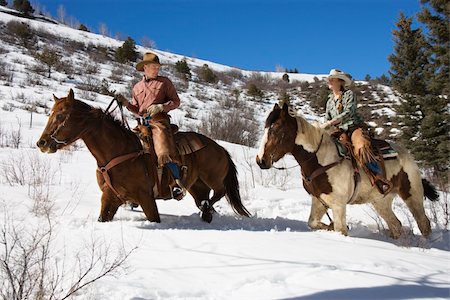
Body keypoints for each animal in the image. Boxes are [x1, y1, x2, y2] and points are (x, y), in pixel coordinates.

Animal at [37, 89, 251, 223]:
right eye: (50, 113)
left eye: (61, 116)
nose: (42, 143)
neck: (118, 152)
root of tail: (220, 148)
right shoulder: (110, 197)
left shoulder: (146, 198)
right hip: (197, 186)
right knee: (205, 198)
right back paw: (206, 212)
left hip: (212, 178)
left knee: (220, 191)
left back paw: (207, 209)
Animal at [256, 102, 440, 238]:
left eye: (277, 129)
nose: (260, 160)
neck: (321, 161)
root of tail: (407, 154)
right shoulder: (319, 200)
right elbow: (313, 223)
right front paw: (328, 227)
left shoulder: (338, 204)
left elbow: (340, 230)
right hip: (381, 202)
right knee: (396, 225)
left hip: (412, 194)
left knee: (423, 223)